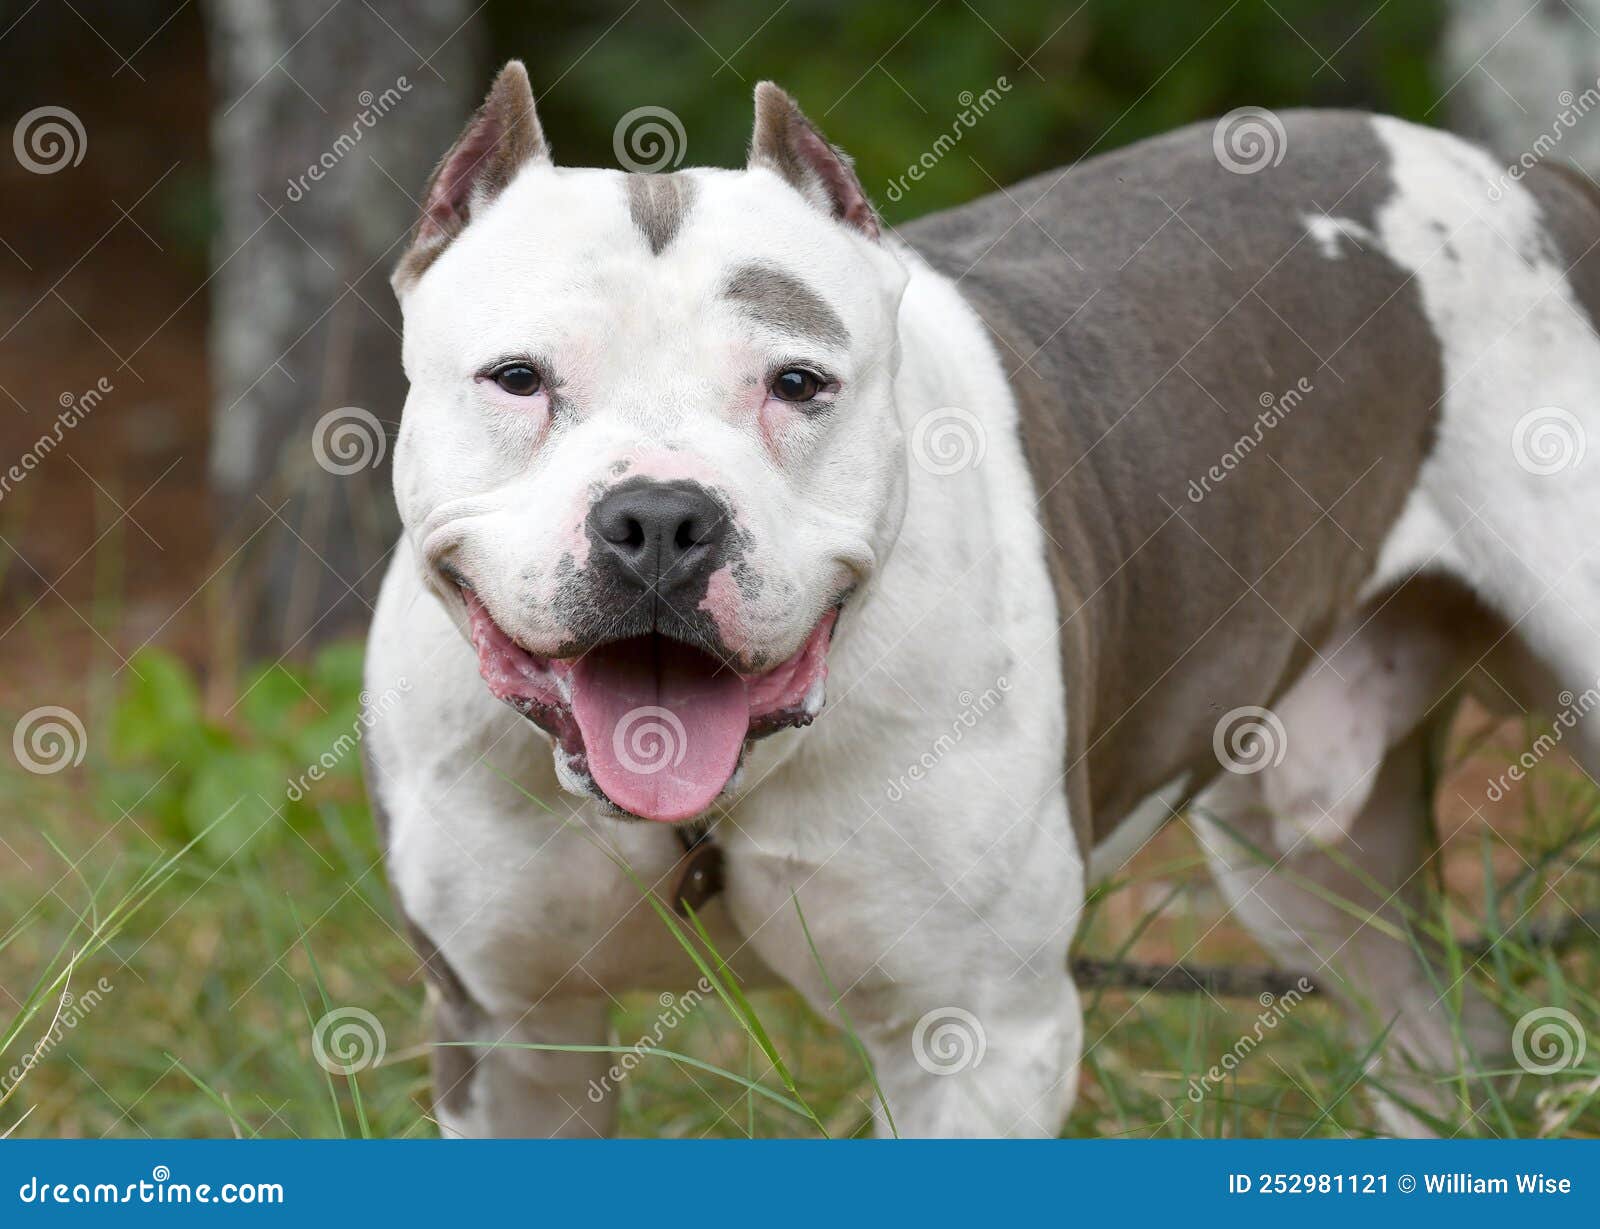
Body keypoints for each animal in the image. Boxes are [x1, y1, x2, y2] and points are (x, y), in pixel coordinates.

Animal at [366, 62, 1600, 1139]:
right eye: (518, 378)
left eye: (798, 383)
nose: (661, 518)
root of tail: (1532, 179)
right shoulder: (511, 1032)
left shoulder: (980, 1036)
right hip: (1295, 855)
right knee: (1433, 1031)